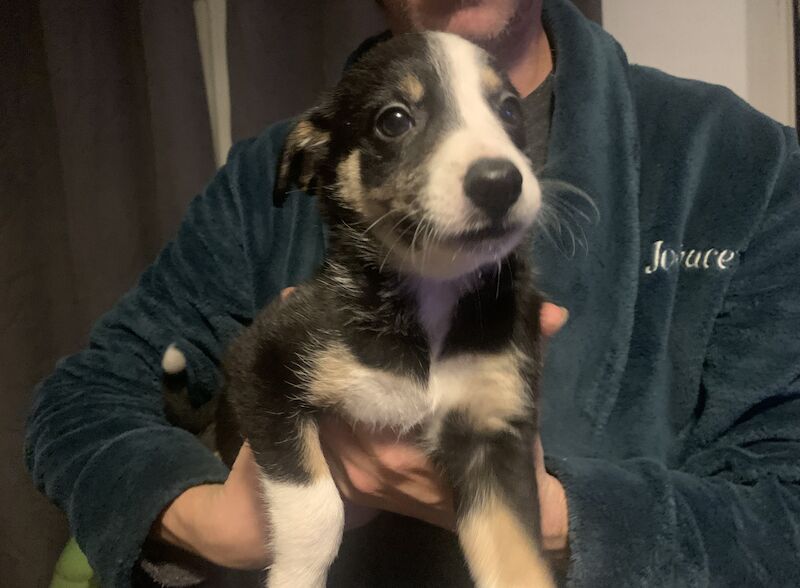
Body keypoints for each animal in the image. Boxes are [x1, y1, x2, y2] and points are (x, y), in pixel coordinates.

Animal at [166, 31, 552, 588]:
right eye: (393, 120)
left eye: (509, 110)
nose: (500, 182)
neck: (431, 294)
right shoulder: (261, 365)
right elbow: (320, 510)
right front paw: (296, 577)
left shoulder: (493, 434)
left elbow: (520, 560)